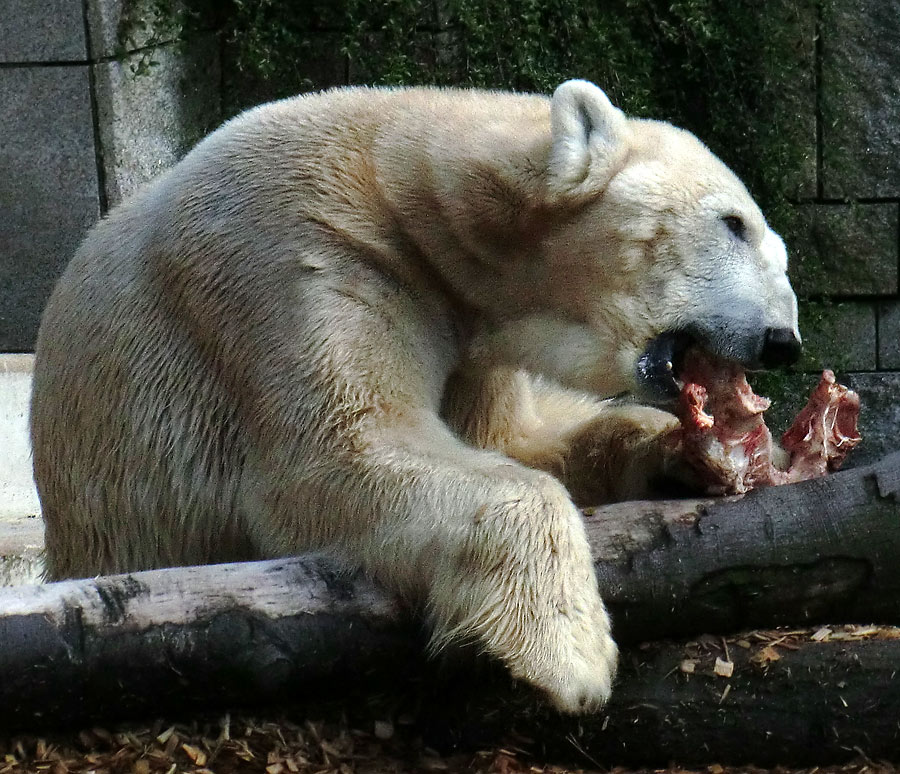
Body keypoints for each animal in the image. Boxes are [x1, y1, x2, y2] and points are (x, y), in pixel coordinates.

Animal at [31, 80, 800, 716]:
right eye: (733, 223)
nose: (783, 339)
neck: (404, 194)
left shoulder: (470, 341)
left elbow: (517, 443)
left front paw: (690, 454)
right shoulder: (294, 267)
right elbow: (342, 454)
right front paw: (569, 656)